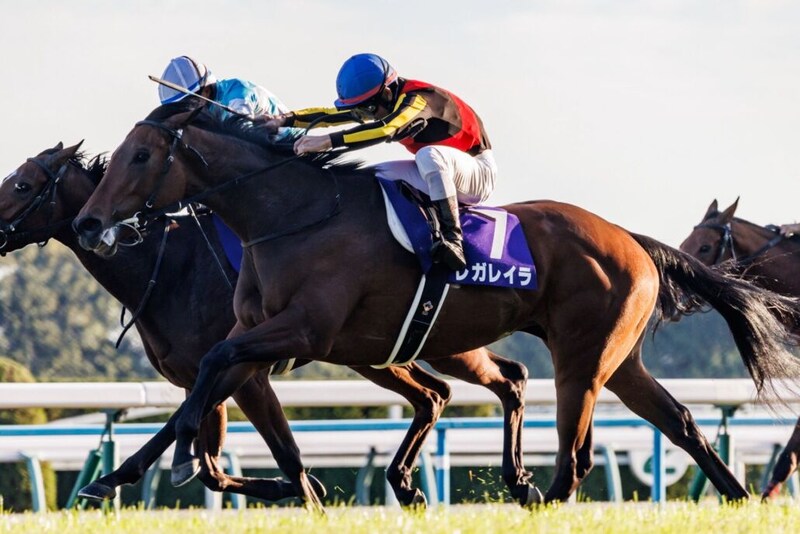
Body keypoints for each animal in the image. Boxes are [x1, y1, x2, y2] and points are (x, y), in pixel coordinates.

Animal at [0, 142, 536, 509]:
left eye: (21, 185)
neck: (166, 264)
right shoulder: (204, 374)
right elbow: (205, 459)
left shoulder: (247, 371)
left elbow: (274, 451)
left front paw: (306, 491)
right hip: (378, 351)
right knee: (435, 394)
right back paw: (414, 484)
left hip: (444, 340)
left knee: (506, 378)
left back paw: (515, 479)